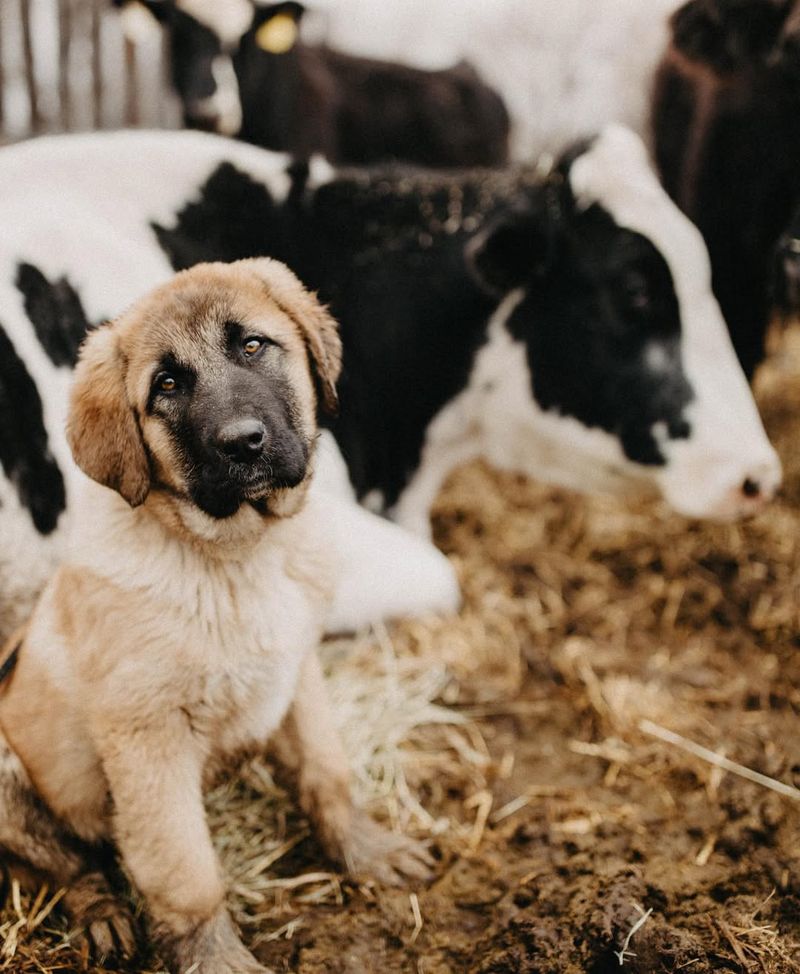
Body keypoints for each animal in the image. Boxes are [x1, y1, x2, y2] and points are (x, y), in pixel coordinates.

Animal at [0, 262, 432, 974]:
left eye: (252, 346)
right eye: (166, 385)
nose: (244, 444)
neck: (238, 557)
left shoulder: (297, 671)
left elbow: (326, 769)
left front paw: (364, 848)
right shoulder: (149, 739)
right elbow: (184, 870)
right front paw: (216, 958)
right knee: (67, 866)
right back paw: (103, 917)